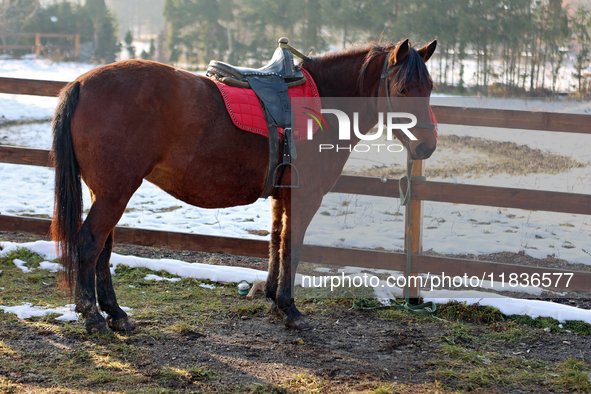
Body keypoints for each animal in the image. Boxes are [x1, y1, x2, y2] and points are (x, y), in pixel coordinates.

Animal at [51, 38, 438, 332]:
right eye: (403, 89)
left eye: (430, 88)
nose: (426, 147)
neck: (326, 102)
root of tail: (81, 83)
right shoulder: (304, 197)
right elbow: (292, 248)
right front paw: (289, 308)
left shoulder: (282, 198)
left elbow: (277, 242)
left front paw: (274, 299)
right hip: (115, 193)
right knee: (90, 244)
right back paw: (93, 317)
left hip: (108, 191)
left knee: (103, 249)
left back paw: (116, 314)